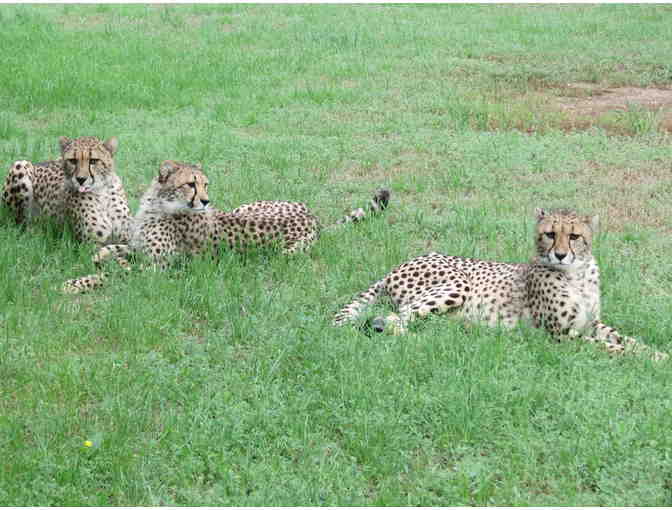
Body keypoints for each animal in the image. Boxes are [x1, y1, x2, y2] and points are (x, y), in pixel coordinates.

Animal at [2, 136, 130, 245]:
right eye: (72, 160)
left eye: (93, 161)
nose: (81, 179)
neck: (102, 191)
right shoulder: (91, 244)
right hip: (21, 165)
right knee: (18, 222)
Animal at [63, 160, 390, 293]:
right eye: (190, 184)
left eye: (205, 184)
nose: (207, 201)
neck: (159, 205)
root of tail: (314, 218)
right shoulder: (137, 248)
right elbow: (109, 250)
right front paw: (101, 258)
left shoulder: (159, 268)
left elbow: (115, 274)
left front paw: (75, 283)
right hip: (241, 207)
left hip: (286, 253)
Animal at [333, 207, 667, 361]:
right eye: (550, 234)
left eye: (574, 236)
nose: (560, 254)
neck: (577, 274)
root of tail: (402, 263)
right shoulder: (558, 335)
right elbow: (611, 347)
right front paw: (652, 360)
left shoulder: (590, 323)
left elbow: (625, 339)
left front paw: (658, 352)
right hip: (458, 283)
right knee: (389, 319)